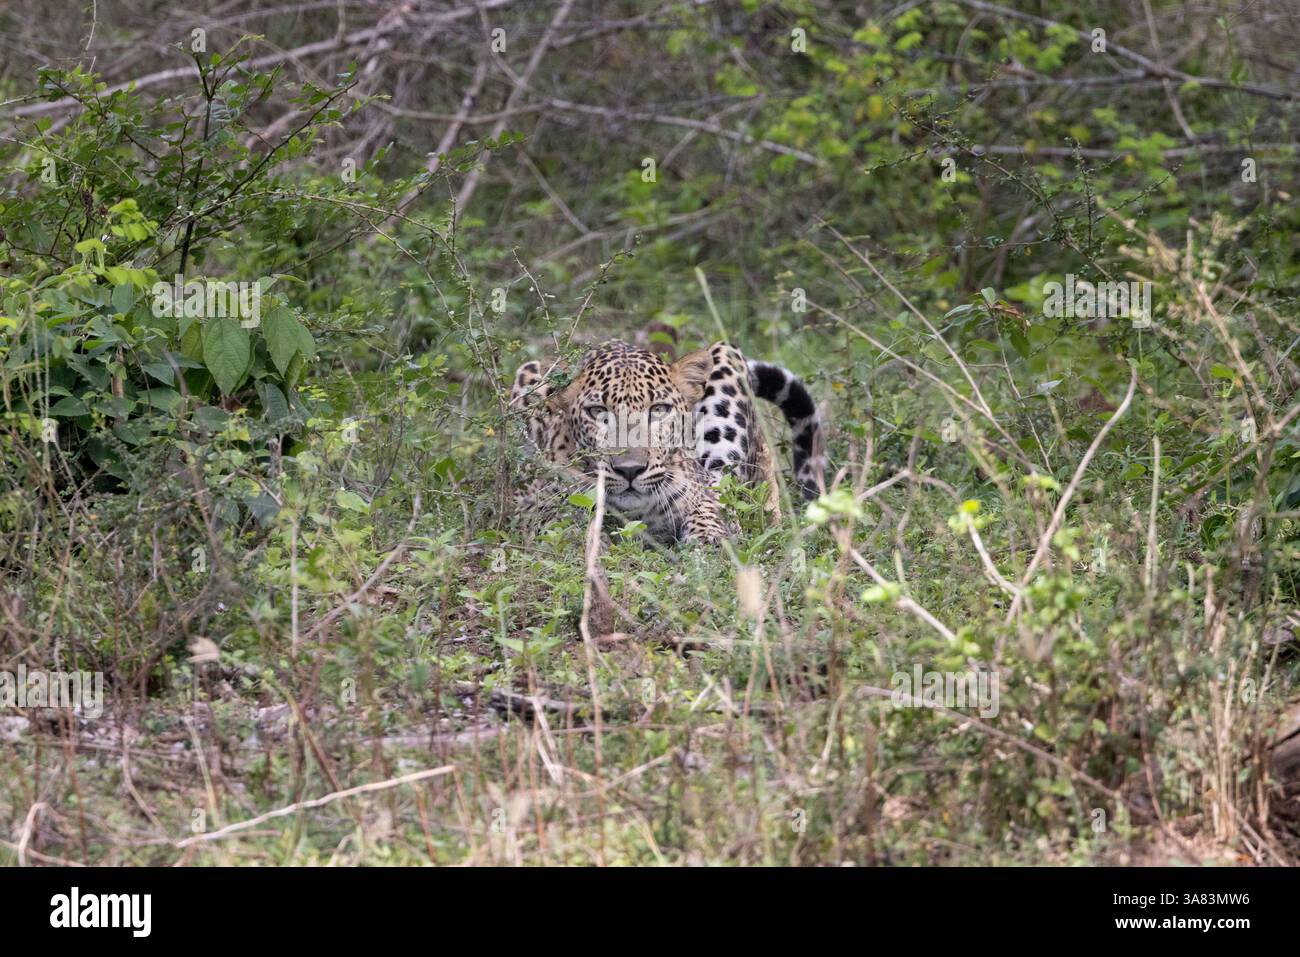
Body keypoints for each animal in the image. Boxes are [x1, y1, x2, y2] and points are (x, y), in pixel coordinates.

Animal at [509, 339, 823, 544]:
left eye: (659, 409)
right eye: (598, 412)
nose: (630, 470)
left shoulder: (698, 489)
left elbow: (708, 508)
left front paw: (709, 538)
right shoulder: (532, 505)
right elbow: (555, 521)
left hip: (726, 358)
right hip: (528, 373)